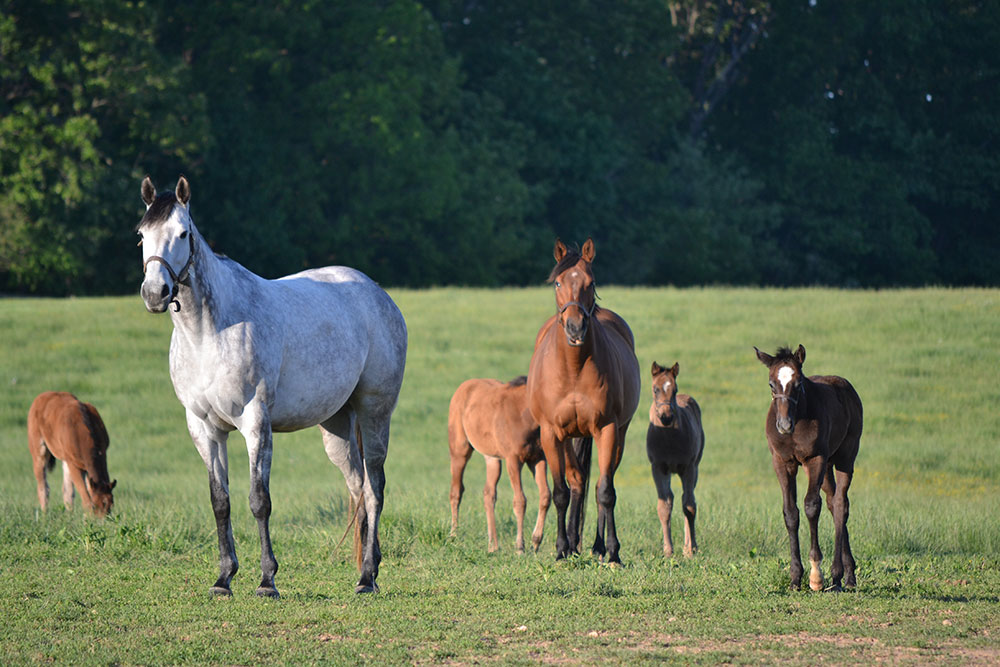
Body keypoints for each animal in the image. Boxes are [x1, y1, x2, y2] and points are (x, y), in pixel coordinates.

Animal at [450, 376, 552, 552]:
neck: (524, 415)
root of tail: (463, 387)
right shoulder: (513, 459)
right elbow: (520, 501)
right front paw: (520, 547)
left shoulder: (538, 458)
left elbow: (545, 495)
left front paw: (536, 541)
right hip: (459, 451)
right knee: (456, 491)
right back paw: (454, 536)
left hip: (492, 458)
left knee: (488, 494)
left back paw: (493, 545)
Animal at [524, 240, 640, 564]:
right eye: (558, 282)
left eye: (591, 282)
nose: (575, 328)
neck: (573, 369)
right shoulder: (551, 433)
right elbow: (561, 491)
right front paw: (561, 549)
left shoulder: (607, 429)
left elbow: (605, 492)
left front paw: (612, 552)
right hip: (567, 438)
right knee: (576, 481)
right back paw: (574, 543)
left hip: (618, 434)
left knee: (600, 482)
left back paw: (597, 547)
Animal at [644, 362, 708, 556]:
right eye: (655, 389)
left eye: (674, 389)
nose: (666, 417)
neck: (669, 438)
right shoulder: (658, 468)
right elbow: (664, 507)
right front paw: (668, 551)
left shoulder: (688, 468)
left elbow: (689, 506)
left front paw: (691, 550)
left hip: (694, 469)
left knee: (688, 498)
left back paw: (688, 546)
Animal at [752, 348, 864, 592]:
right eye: (771, 384)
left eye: (798, 383)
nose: (784, 425)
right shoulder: (782, 462)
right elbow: (790, 512)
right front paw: (795, 577)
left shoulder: (816, 459)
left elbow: (811, 506)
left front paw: (816, 576)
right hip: (826, 467)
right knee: (833, 502)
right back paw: (847, 573)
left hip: (845, 457)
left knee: (841, 504)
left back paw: (839, 576)